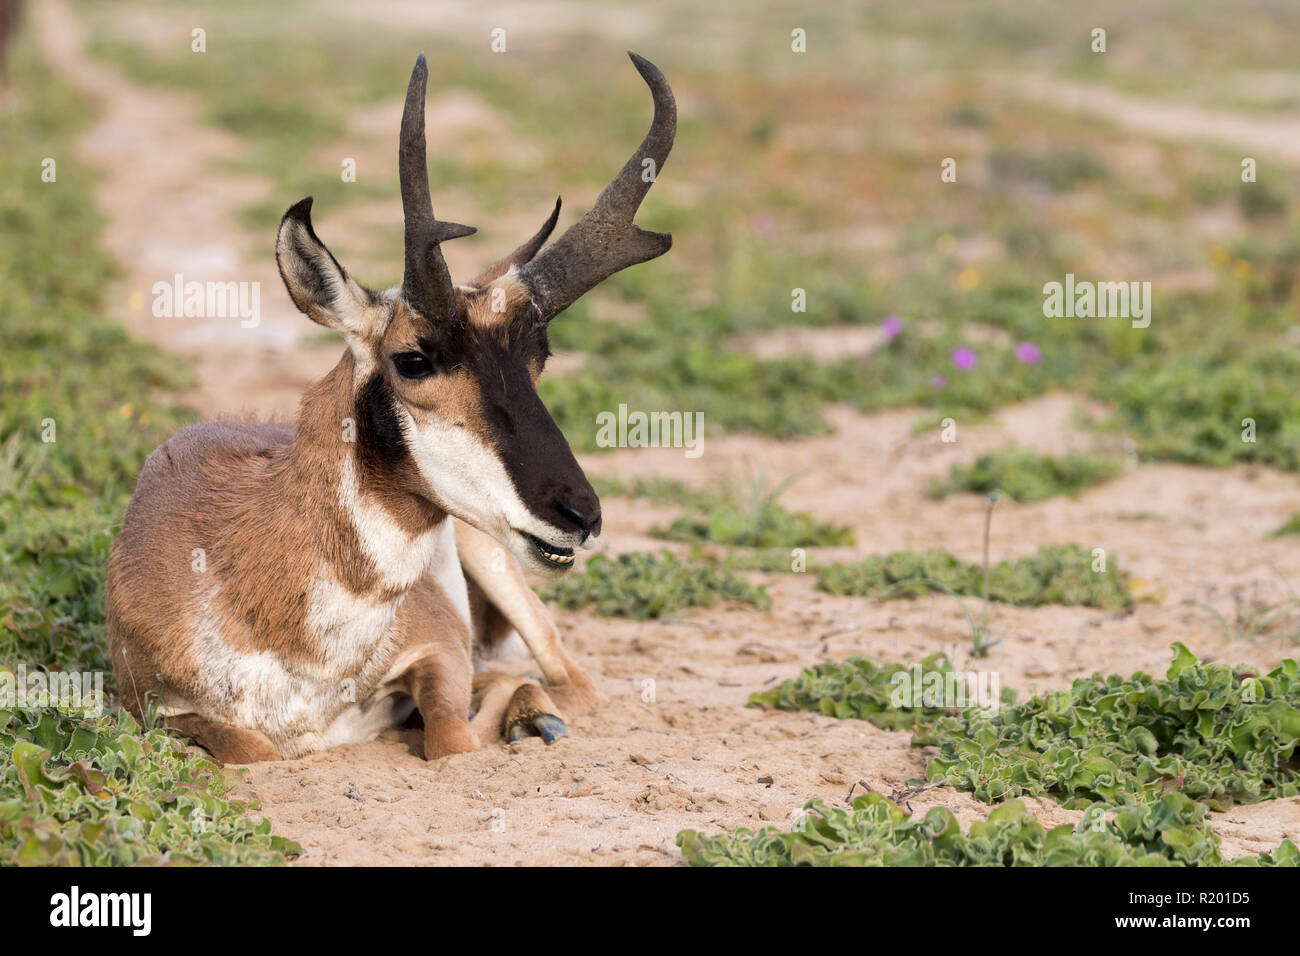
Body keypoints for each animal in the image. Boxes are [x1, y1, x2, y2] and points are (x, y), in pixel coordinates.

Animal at [105, 54, 676, 770]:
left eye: (538, 355)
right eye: (412, 359)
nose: (580, 515)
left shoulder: (440, 650)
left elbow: (454, 737)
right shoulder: (153, 708)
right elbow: (250, 749)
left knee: (566, 681)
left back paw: (535, 716)